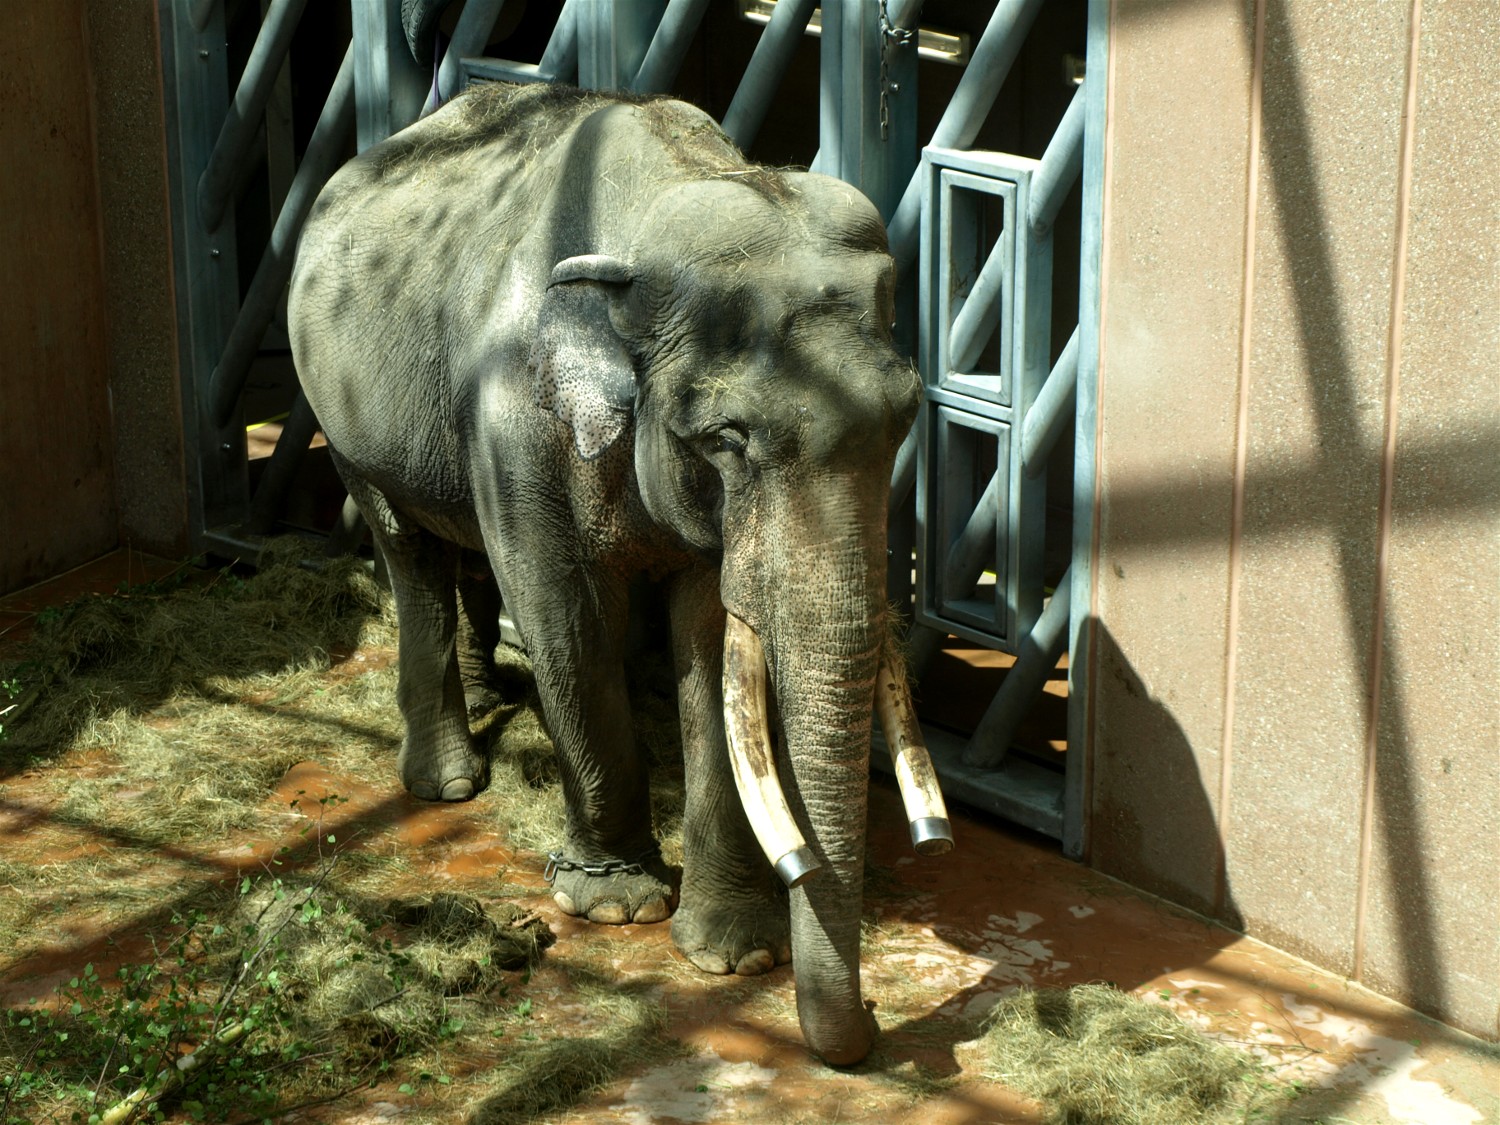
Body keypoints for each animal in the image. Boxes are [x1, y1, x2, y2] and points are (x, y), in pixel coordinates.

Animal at [287, 79, 950, 1065]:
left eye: (907, 418)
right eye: (728, 438)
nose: (869, 1025)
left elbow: (711, 640)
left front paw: (731, 954)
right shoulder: (514, 416)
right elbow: (564, 614)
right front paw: (614, 904)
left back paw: (488, 699)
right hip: (343, 412)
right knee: (408, 548)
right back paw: (449, 780)